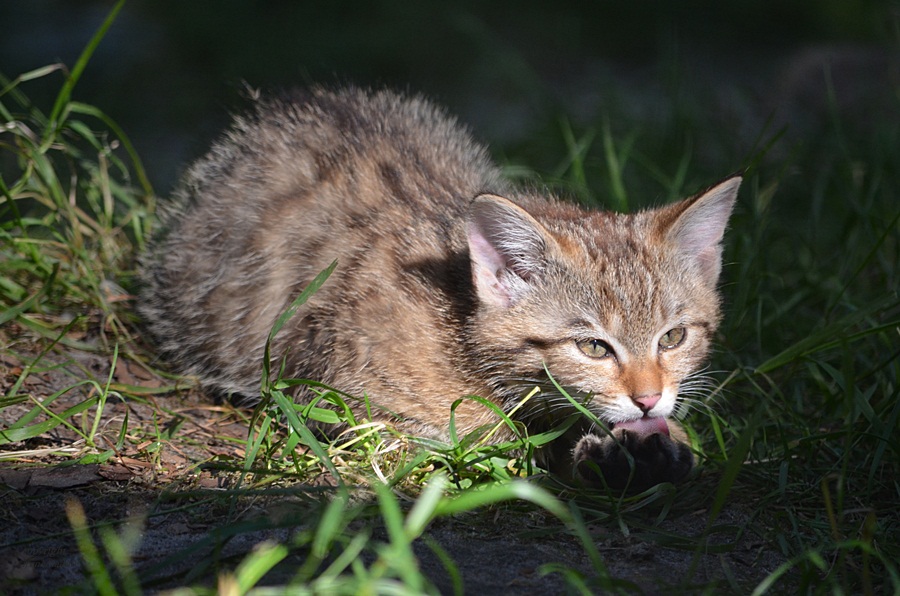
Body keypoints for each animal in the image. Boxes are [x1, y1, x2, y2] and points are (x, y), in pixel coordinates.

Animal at [141, 87, 740, 488]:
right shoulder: (352, 404)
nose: (649, 398)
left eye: (673, 338)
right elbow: (476, 441)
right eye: (593, 346)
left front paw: (653, 448)